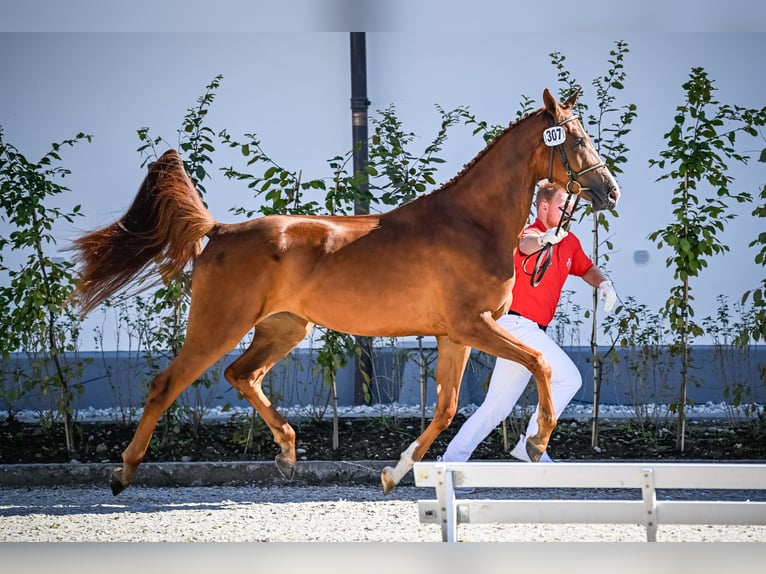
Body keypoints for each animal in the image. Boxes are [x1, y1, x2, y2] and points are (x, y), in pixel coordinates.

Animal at [72, 88, 620, 498]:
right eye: (575, 139)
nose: (610, 192)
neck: (471, 223)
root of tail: (219, 232)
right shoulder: (473, 325)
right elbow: (540, 363)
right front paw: (538, 442)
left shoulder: (454, 335)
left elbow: (445, 408)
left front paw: (393, 473)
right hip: (218, 326)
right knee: (167, 384)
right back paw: (123, 472)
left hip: (285, 328)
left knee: (241, 374)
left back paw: (287, 451)